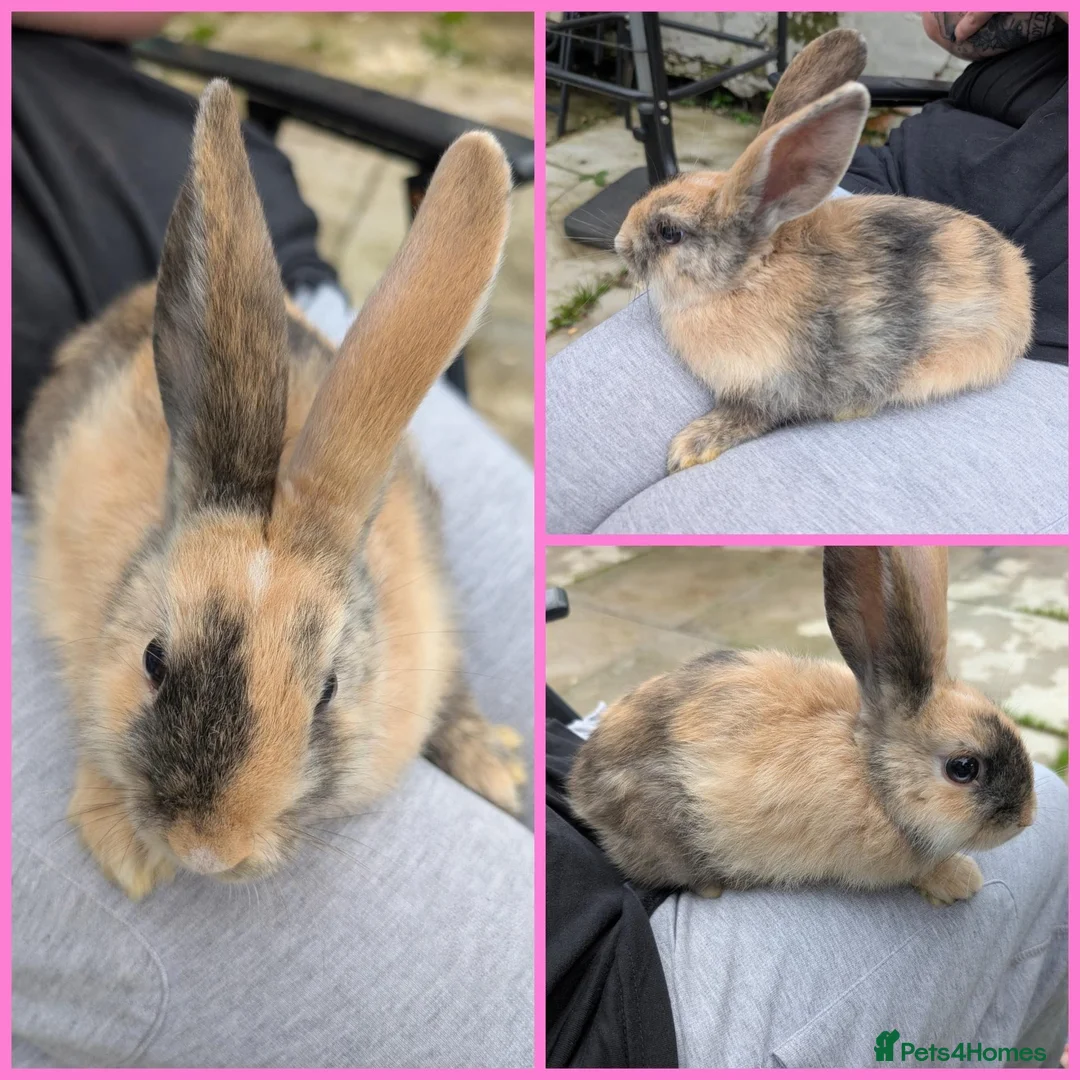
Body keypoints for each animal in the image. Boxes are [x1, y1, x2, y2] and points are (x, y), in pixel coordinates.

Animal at [567, 547, 1036, 906]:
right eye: (963, 768)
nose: (1026, 819)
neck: (872, 772)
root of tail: (581, 790)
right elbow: (919, 873)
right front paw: (959, 881)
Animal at [614, 29, 1034, 474]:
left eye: (669, 233)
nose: (619, 242)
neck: (748, 277)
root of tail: (1019, 277)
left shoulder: (770, 389)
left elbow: (746, 417)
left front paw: (689, 448)